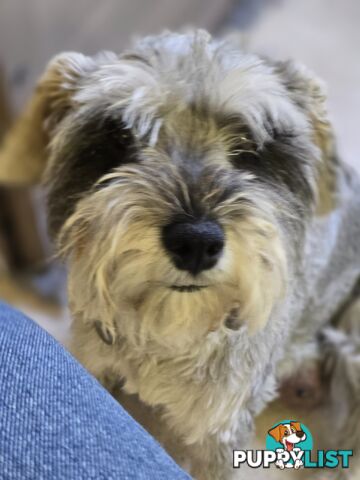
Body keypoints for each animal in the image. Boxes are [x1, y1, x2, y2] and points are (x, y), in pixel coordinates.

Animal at [0, 31, 360, 480]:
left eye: (252, 148)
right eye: (119, 137)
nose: (195, 243)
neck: (167, 338)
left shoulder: (218, 435)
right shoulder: (98, 365)